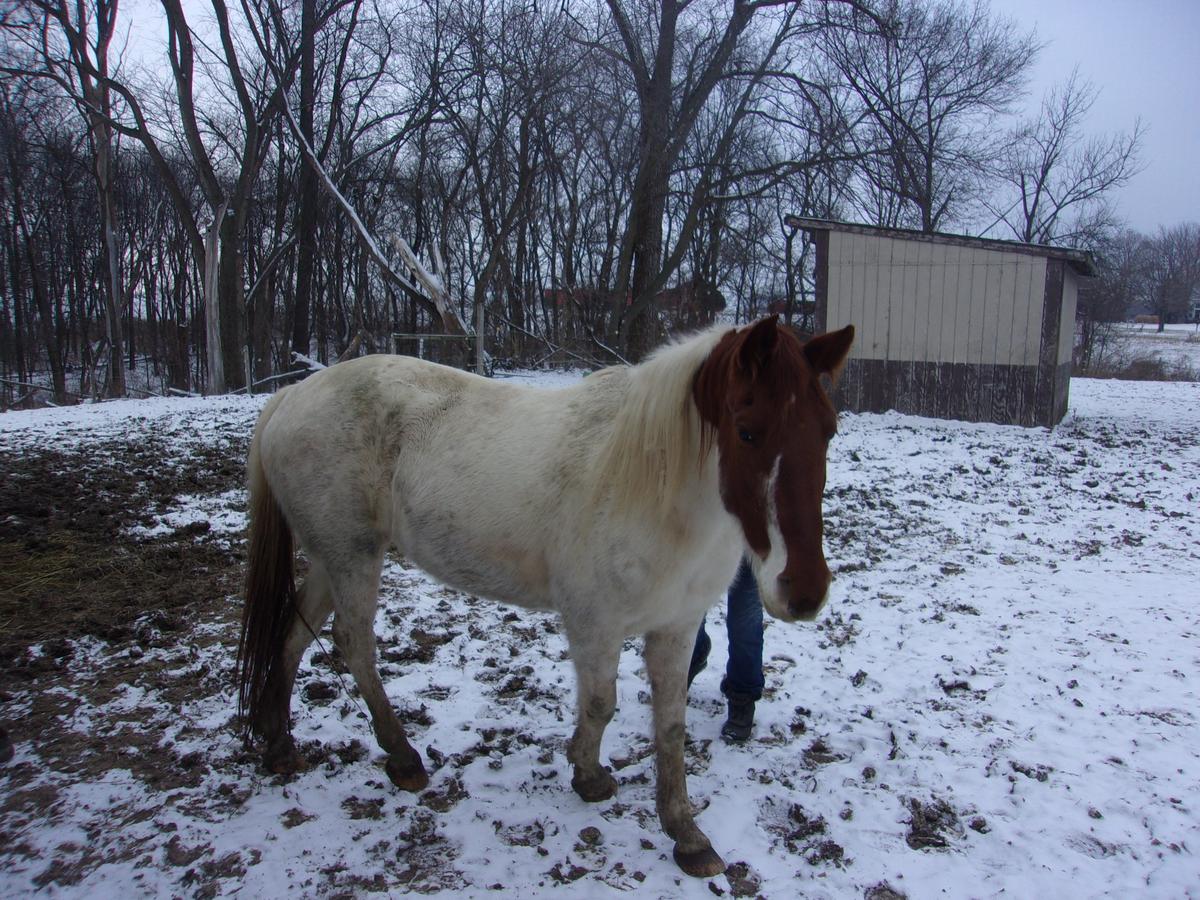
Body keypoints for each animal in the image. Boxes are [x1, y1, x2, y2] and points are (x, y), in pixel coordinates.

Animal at [236, 314, 854, 878]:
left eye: (827, 430)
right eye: (747, 431)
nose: (804, 591)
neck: (654, 485)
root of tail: (291, 395)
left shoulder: (677, 626)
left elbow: (671, 726)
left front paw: (686, 835)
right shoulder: (594, 623)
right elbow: (601, 703)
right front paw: (588, 776)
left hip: (331, 557)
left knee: (295, 632)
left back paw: (278, 742)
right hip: (353, 556)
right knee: (354, 642)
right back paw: (403, 757)